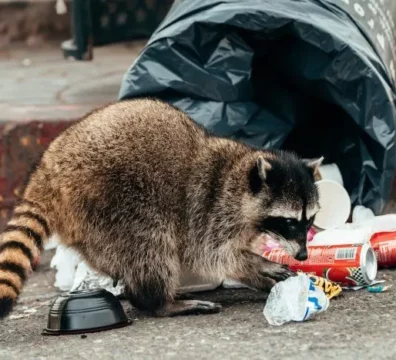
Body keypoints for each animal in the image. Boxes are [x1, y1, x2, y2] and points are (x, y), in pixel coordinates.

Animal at [0, 98, 322, 318]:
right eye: (289, 221)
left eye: (309, 221)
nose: (303, 255)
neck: (241, 174)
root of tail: (49, 170)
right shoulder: (211, 210)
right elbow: (213, 255)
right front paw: (255, 268)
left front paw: (260, 265)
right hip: (112, 200)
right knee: (150, 244)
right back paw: (159, 302)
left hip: (90, 222)